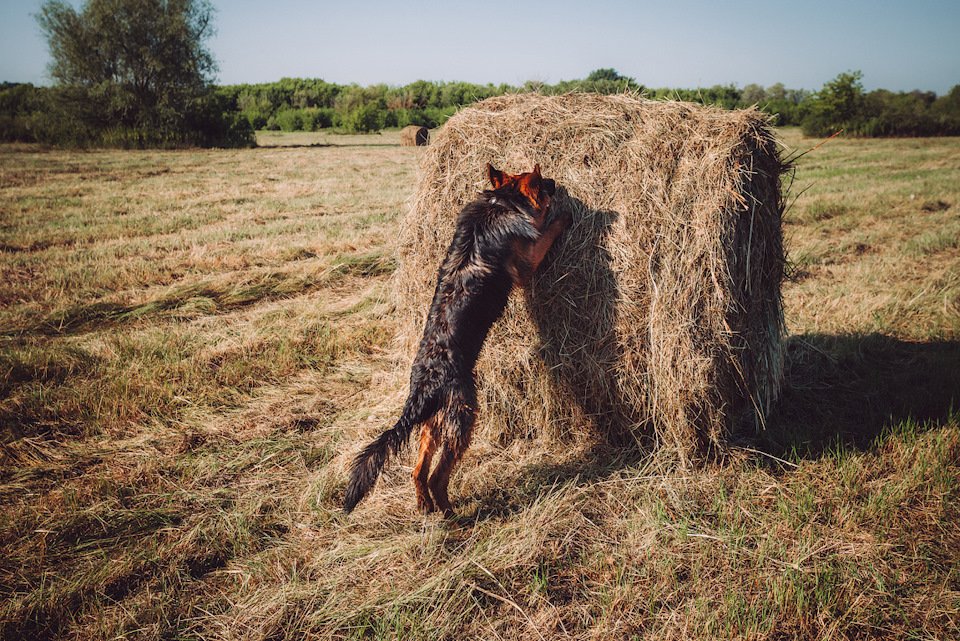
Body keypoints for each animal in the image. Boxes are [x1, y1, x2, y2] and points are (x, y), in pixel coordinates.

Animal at [344, 164, 568, 516]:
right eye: (544, 184)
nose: (556, 182)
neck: (500, 202)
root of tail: (422, 389)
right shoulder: (526, 263)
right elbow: (546, 231)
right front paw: (564, 217)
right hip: (462, 415)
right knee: (438, 474)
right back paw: (450, 512)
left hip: (433, 424)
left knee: (418, 471)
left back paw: (426, 506)